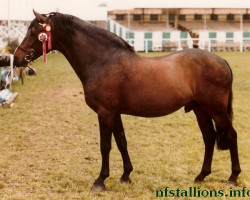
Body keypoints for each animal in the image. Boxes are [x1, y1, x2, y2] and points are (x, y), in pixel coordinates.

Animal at [13, 10, 240, 191]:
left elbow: (105, 145)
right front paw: (125, 176)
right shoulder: (114, 113)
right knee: (209, 138)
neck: (103, 61)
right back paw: (201, 176)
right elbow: (122, 142)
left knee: (231, 135)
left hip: (216, 110)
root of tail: (222, 60)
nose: (16, 58)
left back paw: (233, 177)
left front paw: (100, 180)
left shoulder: (104, 112)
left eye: (34, 32)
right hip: (200, 110)